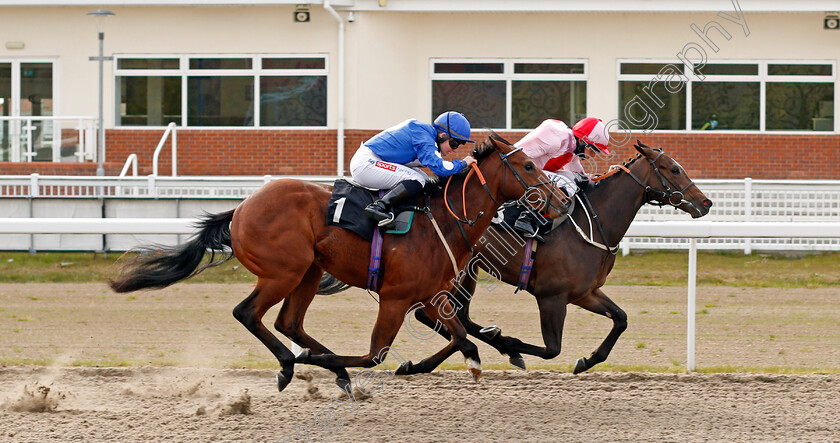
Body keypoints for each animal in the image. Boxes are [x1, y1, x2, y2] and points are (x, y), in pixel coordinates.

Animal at [108, 135, 560, 392]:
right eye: (528, 165)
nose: (560, 200)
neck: (445, 220)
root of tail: (241, 209)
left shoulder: (430, 297)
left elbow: (462, 338)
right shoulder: (395, 298)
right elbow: (377, 354)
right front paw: (323, 363)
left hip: (309, 270)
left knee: (289, 322)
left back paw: (325, 369)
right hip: (284, 270)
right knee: (248, 313)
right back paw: (292, 364)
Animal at [318, 141, 712, 374]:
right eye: (673, 169)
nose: (706, 202)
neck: (592, 224)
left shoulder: (584, 292)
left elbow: (621, 319)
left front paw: (587, 360)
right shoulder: (552, 296)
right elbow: (551, 349)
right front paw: (513, 348)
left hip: (465, 273)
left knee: (452, 320)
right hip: (462, 274)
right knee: (438, 318)